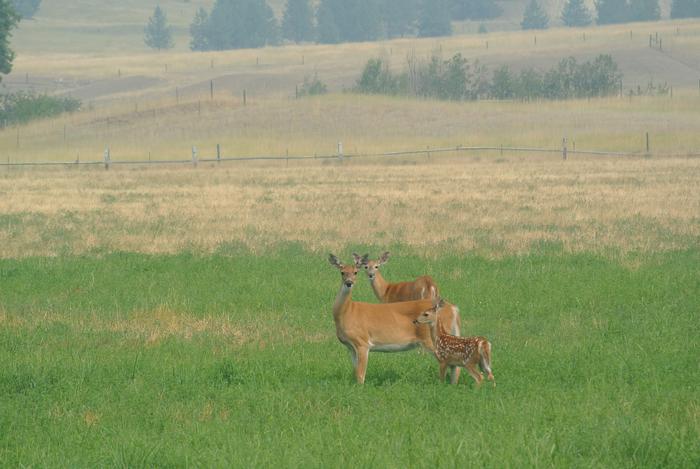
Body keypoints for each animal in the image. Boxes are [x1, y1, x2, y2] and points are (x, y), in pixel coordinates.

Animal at [328, 254, 461, 384]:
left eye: (356, 272)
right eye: (342, 272)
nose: (349, 283)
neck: (347, 312)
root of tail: (453, 309)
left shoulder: (363, 342)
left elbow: (361, 376)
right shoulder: (350, 347)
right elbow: (355, 372)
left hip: (434, 339)